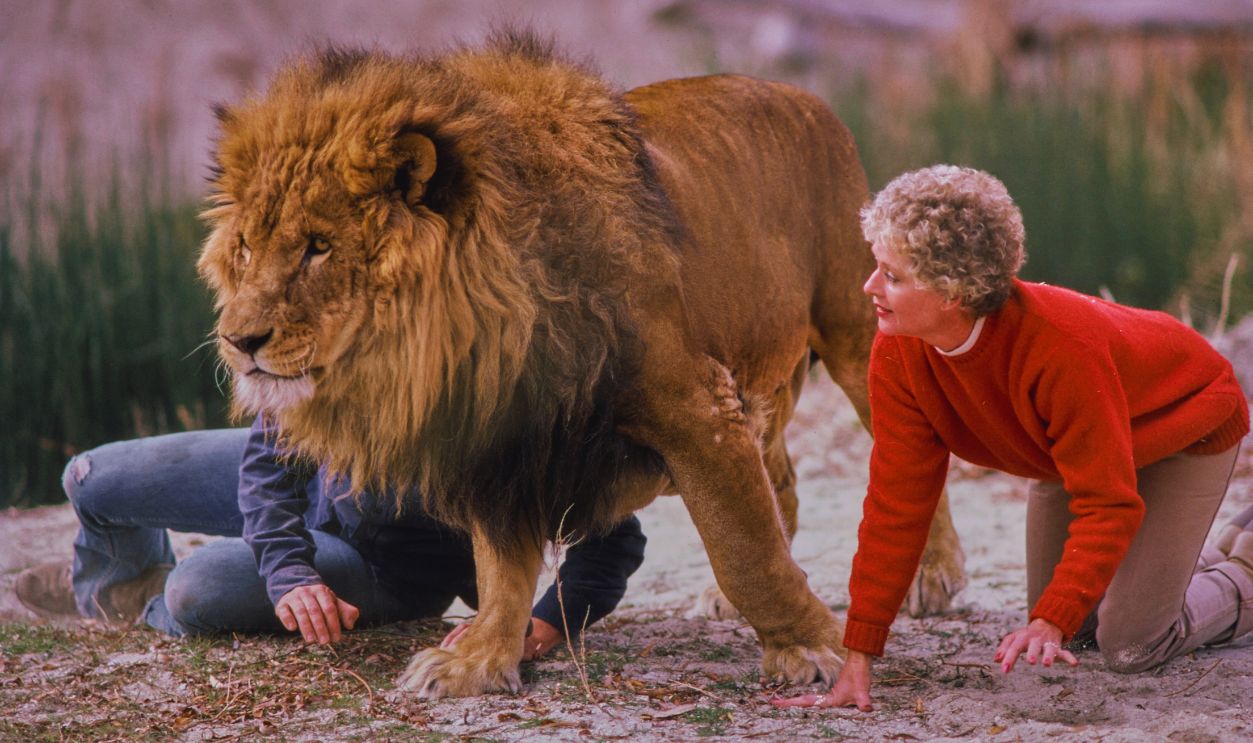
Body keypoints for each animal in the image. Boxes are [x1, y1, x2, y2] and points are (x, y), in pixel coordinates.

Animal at [198, 31, 967, 698]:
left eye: (318, 247)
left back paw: (933, 578)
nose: (239, 339)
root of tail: (807, 97)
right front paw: (478, 660)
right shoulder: (503, 440)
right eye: (245, 246)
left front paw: (810, 650)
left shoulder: (694, 405)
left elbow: (744, 548)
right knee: (780, 477)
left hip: (855, 330)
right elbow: (501, 569)